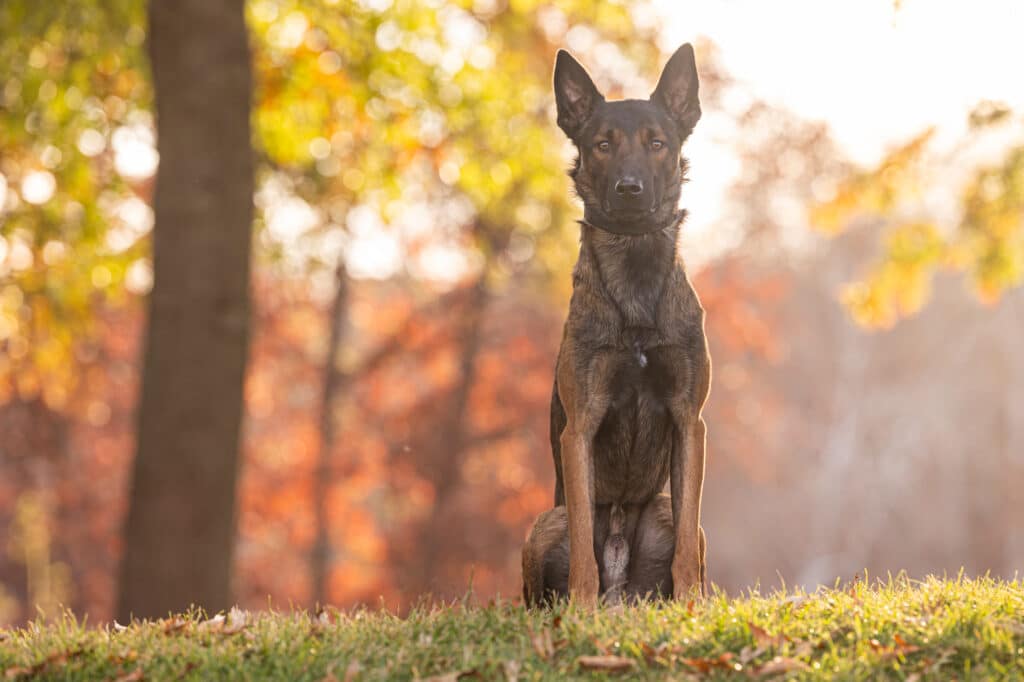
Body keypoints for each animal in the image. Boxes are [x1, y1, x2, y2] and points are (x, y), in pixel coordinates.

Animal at [524, 45, 708, 602]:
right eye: (602, 145)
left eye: (657, 144)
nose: (630, 189)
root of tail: (621, 596)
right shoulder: (580, 425)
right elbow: (585, 542)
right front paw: (580, 607)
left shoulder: (690, 419)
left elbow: (686, 545)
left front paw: (692, 605)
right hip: (546, 522)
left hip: (664, 512)